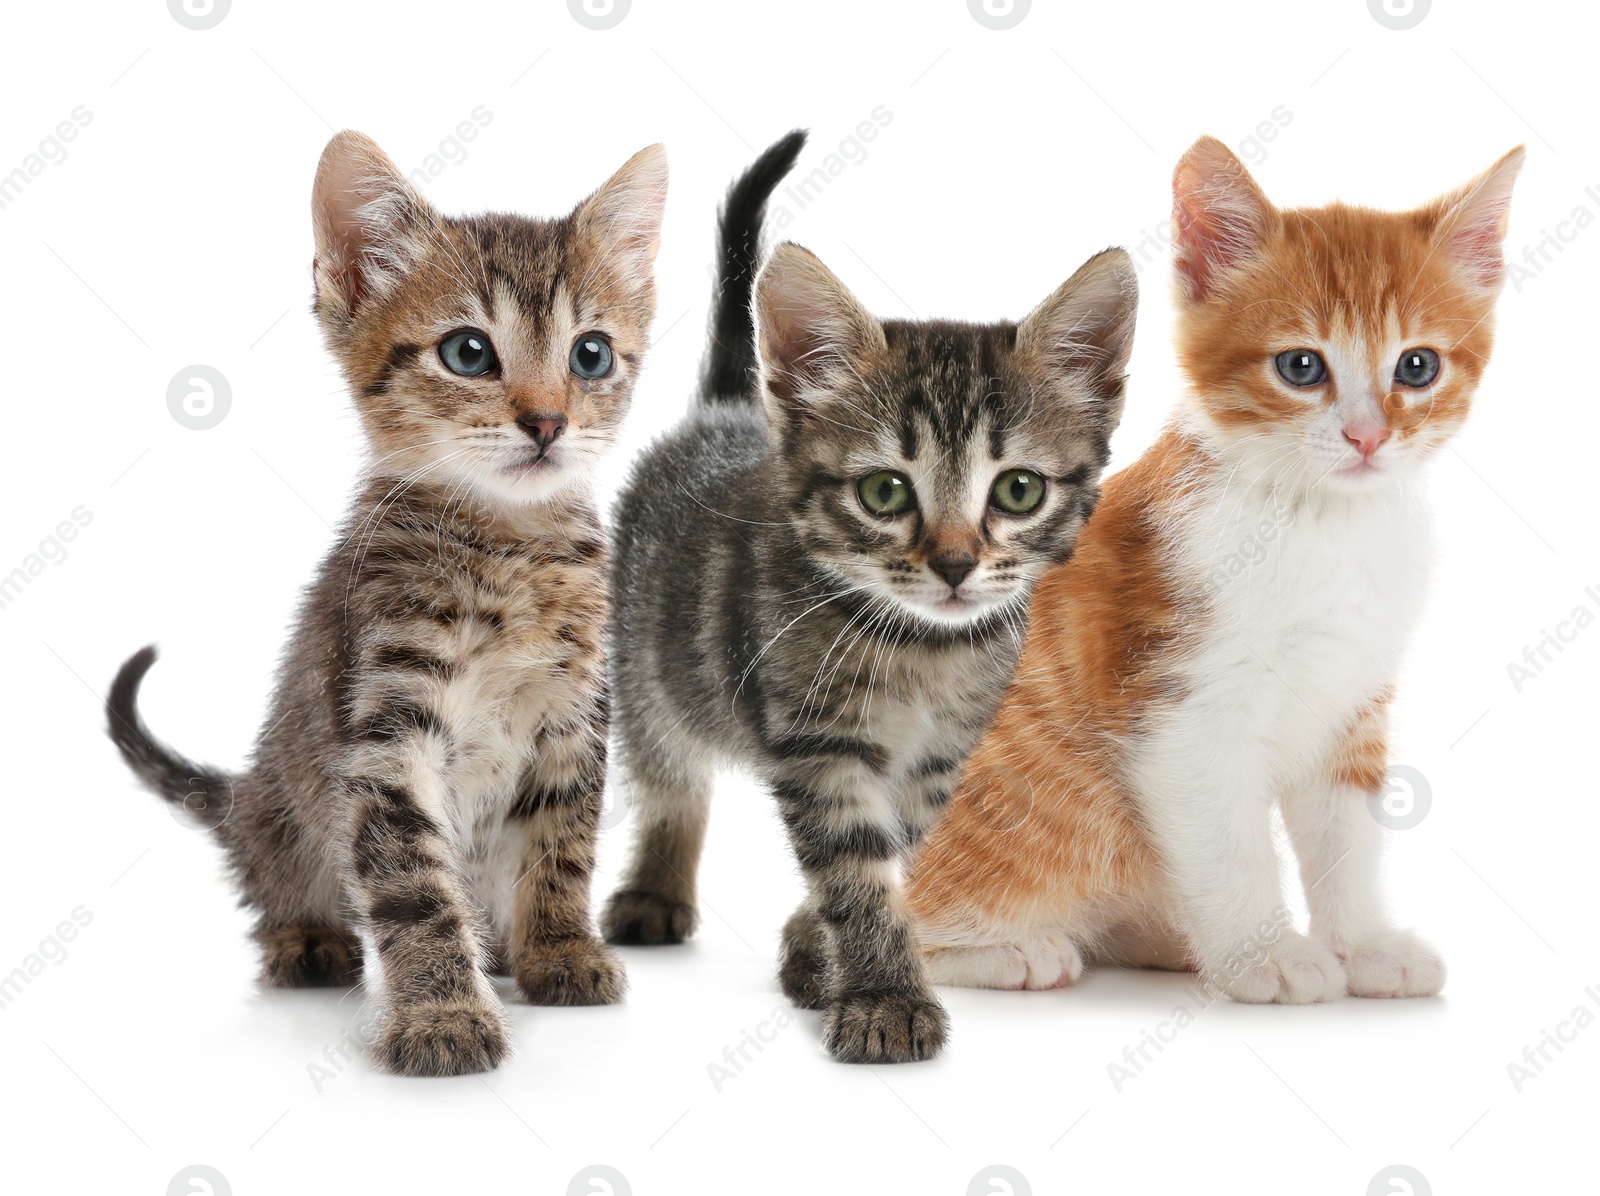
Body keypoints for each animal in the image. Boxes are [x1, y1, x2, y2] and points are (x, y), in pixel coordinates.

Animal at [104, 131, 668, 1074]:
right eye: (469, 353)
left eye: (590, 354)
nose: (547, 421)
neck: (510, 548)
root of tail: (245, 795)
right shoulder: (385, 731)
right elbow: (412, 883)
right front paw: (442, 1011)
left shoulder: (575, 714)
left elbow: (563, 844)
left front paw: (560, 948)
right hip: (283, 816)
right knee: (281, 883)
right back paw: (308, 939)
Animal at [601, 133, 1139, 1068]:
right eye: (885, 493)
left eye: (1020, 490)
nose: (956, 563)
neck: (925, 651)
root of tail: (722, 414)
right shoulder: (820, 746)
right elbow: (857, 871)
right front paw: (885, 996)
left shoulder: (937, 763)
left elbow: (893, 861)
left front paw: (819, 956)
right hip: (647, 666)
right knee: (671, 777)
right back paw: (656, 889)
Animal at [902, 137, 1523, 997]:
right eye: (1301, 367)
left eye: (1418, 367)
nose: (1367, 437)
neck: (1322, 523)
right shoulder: (1180, 711)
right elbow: (1229, 842)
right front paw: (1268, 955)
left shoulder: (1354, 694)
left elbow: (1348, 839)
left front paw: (1363, 943)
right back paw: (1010, 950)